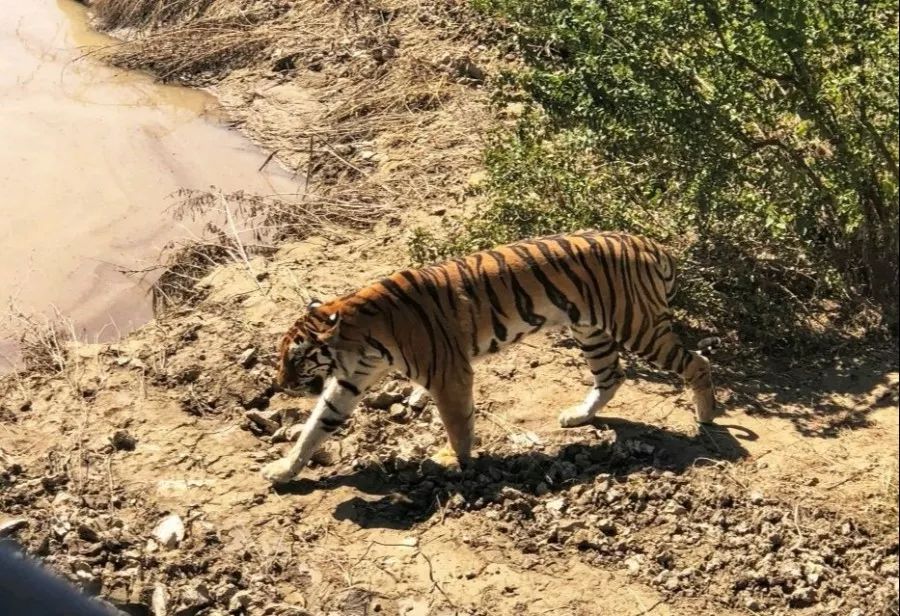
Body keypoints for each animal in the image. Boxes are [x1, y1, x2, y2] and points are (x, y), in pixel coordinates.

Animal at [258, 229, 716, 484]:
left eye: (296, 359)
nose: (280, 384)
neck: (356, 343)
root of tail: (652, 245)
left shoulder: (449, 375)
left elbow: (457, 423)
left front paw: (451, 460)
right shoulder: (347, 383)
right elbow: (315, 428)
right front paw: (283, 470)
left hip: (637, 327)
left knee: (698, 363)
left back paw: (706, 417)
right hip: (592, 331)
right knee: (611, 376)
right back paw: (578, 415)